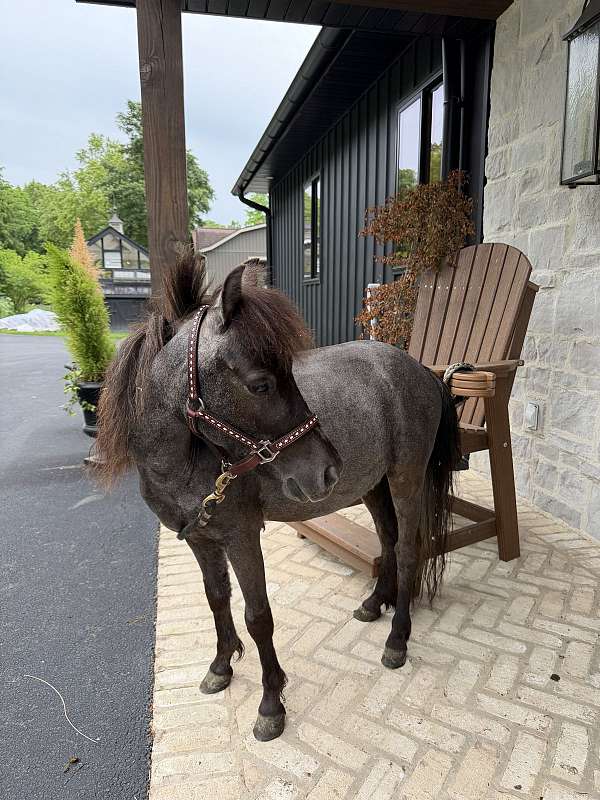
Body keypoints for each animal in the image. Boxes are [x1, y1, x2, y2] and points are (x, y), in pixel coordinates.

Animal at [95, 252, 460, 742]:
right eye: (261, 384)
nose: (326, 470)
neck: (187, 458)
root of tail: (420, 369)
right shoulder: (200, 539)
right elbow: (217, 598)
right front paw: (221, 666)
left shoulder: (242, 537)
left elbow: (258, 616)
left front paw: (271, 703)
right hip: (373, 485)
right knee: (387, 541)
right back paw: (373, 604)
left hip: (405, 480)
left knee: (406, 550)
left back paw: (397, 640)